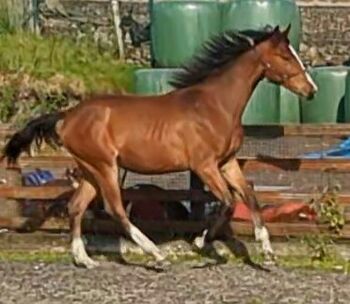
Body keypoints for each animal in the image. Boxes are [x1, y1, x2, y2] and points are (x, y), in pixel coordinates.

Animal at [0, 25, 318, 268]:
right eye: (285, 56)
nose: (312, 90)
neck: (215, 105)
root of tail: (67, 116)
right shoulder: (204, 166)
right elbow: (227, 202)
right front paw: (200, 243)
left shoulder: (226, 163)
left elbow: (249, 196)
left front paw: (268, 253)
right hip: (105, 167)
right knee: (116, 209)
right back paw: (156, 255)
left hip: (90, 169)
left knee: (76, 207)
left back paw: (85, 260)